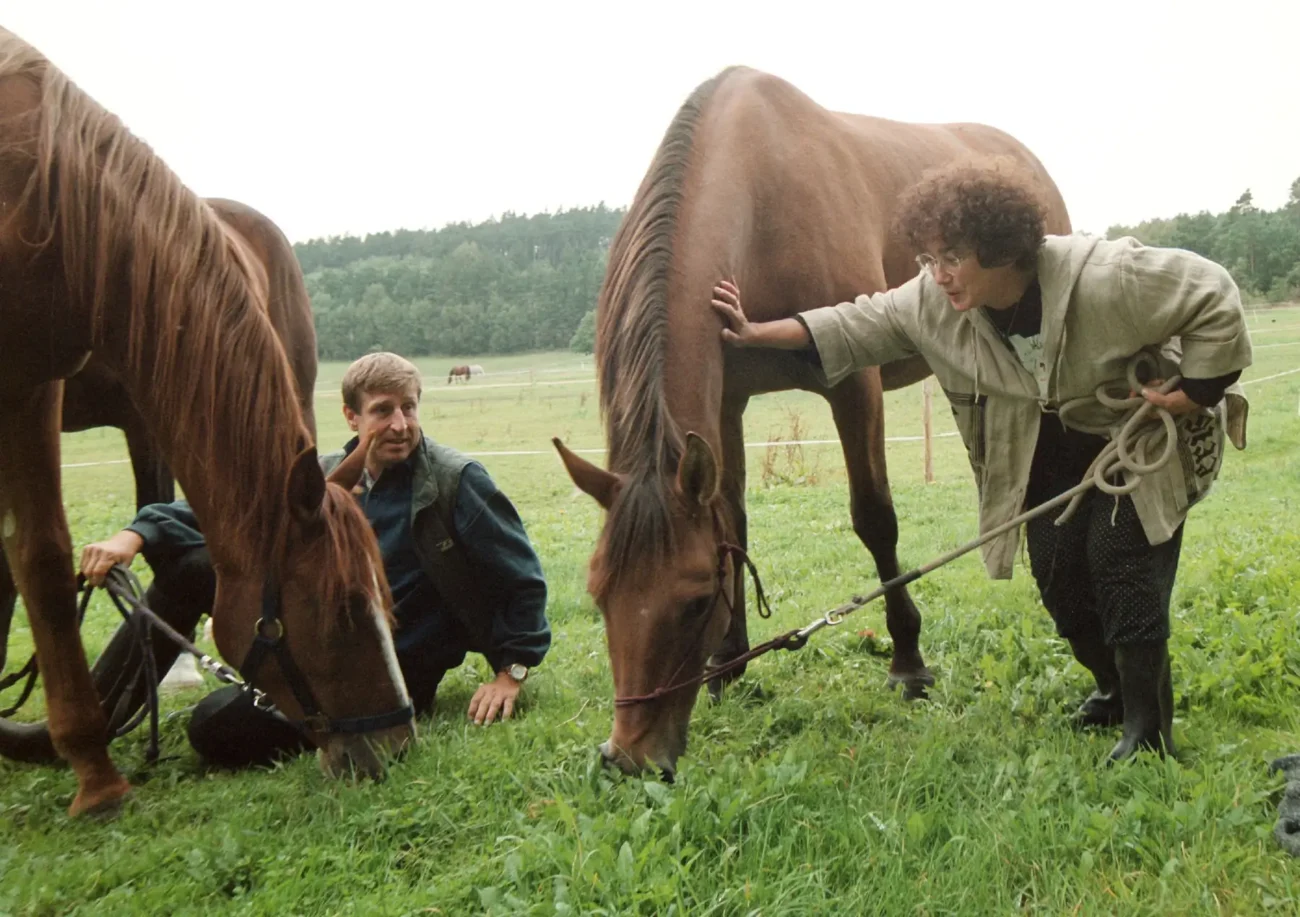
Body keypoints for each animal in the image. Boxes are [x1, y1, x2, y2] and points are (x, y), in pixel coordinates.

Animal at [553, 66, 1071, 780]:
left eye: (694, 599)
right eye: (598, 590)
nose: (628, 758)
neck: (762, 202)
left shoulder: (854, 383)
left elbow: (875, 519)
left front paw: (908, 663)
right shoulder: (726, 403)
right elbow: (733, 518)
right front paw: (729, 665)